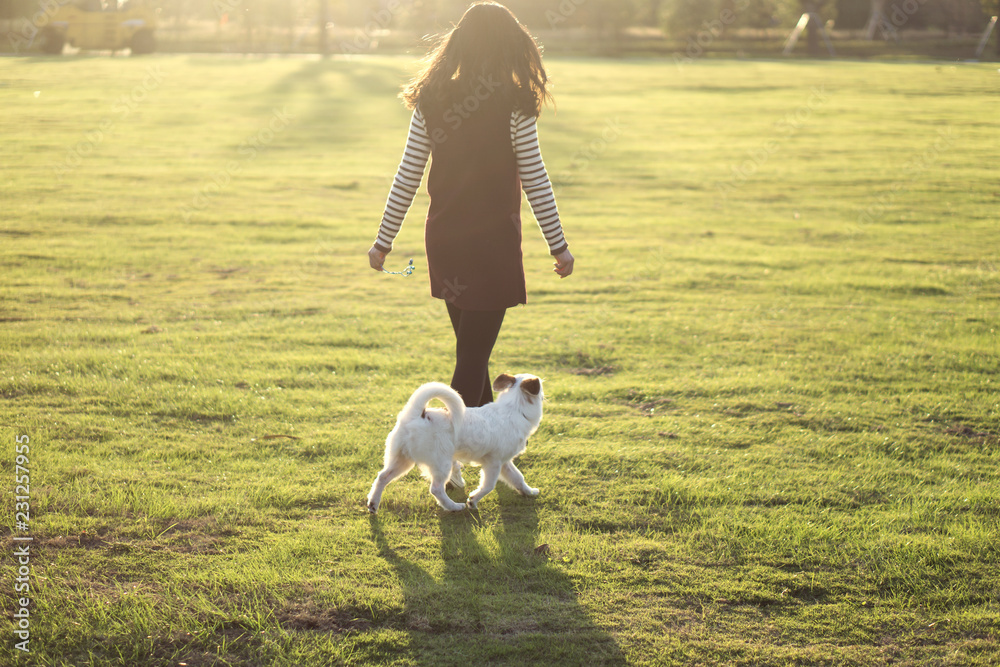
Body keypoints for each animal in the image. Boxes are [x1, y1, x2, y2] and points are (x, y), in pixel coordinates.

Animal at [368, 374, 544, 516]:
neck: (515, 409)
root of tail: (417, 415)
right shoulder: (493, 463)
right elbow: (488, 486)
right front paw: (473, 500)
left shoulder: (505, 462)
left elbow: (518, 478)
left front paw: (529, 492)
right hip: (441, 463)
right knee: (436, 489)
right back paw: (453, 507)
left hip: (402, 460)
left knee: (382, 477)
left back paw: (373, 504)